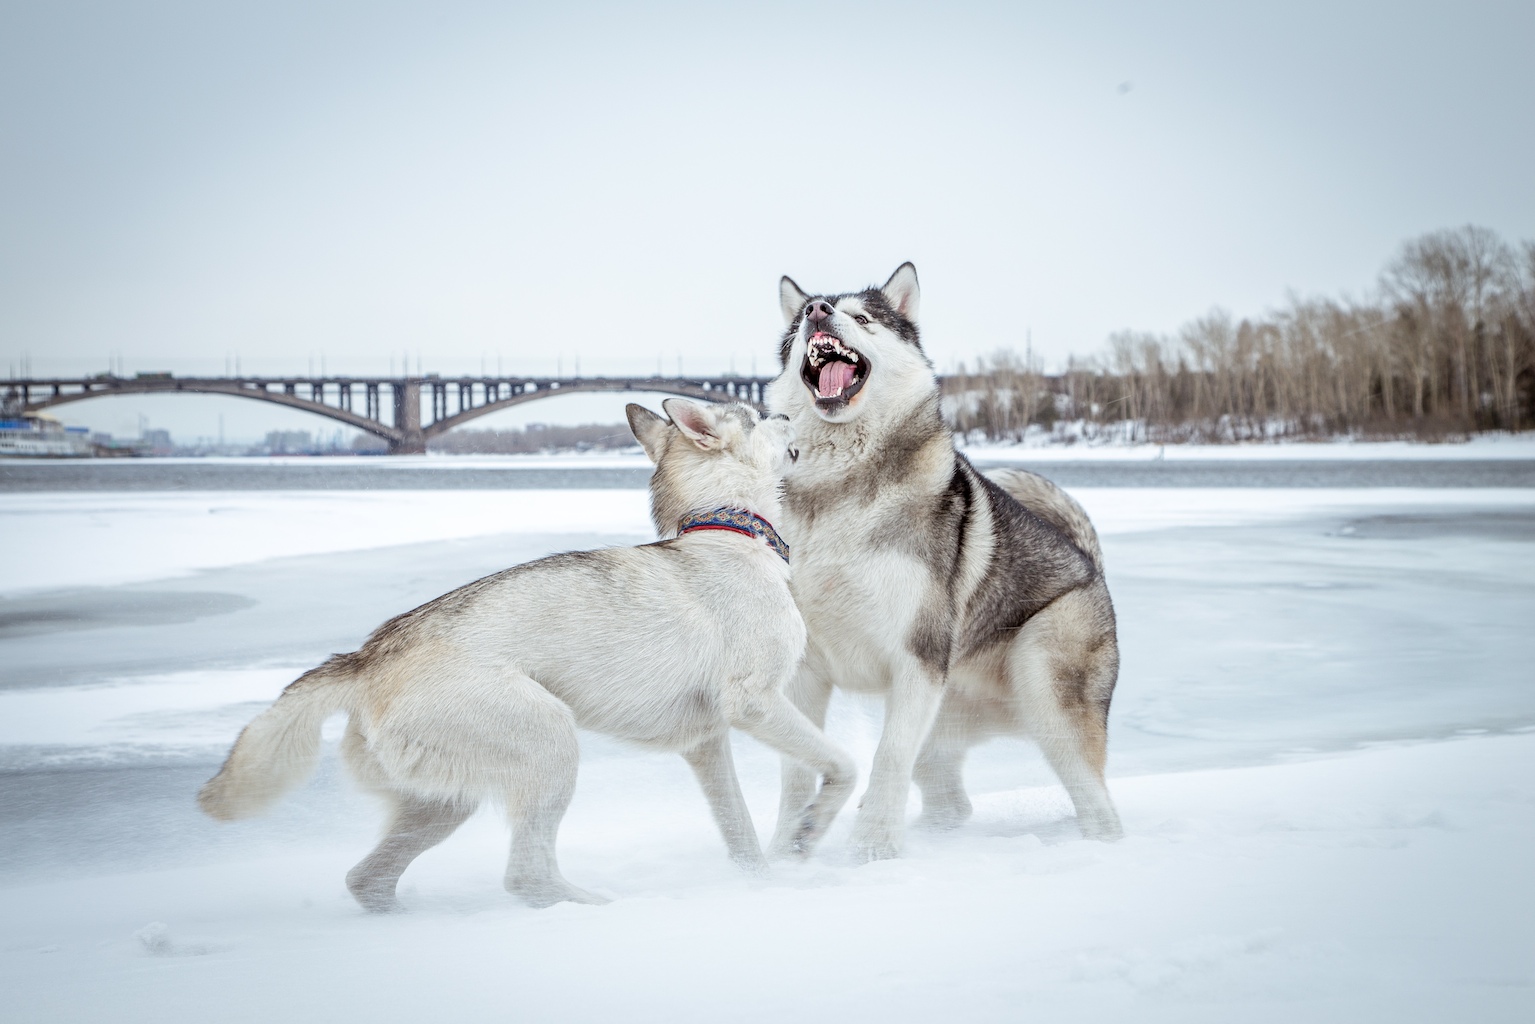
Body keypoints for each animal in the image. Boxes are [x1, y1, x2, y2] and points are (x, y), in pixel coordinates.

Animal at [194, 399, 853, 914]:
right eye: (761, 417)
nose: (789, 411)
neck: (728, 529)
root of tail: (369, 655)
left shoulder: (706, 745)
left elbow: (741, 835)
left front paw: (763, 885)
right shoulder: (755, 705)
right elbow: (843, 766)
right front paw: (810, 829)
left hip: (443, 802)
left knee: (367, 880)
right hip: (550, 743)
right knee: (525, 874)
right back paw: (596, 909)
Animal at [764, 267, 1117, 865]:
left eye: (862, 317)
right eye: (799, 324)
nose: (815, 311)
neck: (835, 491)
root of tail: (1091, 565)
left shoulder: (917, 658)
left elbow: (886, 760)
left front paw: (871, 853)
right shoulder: (804, 669)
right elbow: (794, 768)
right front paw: (785, 852)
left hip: (1046, 691)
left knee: (1099, 807)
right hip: (945, 722)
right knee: (952, 802)